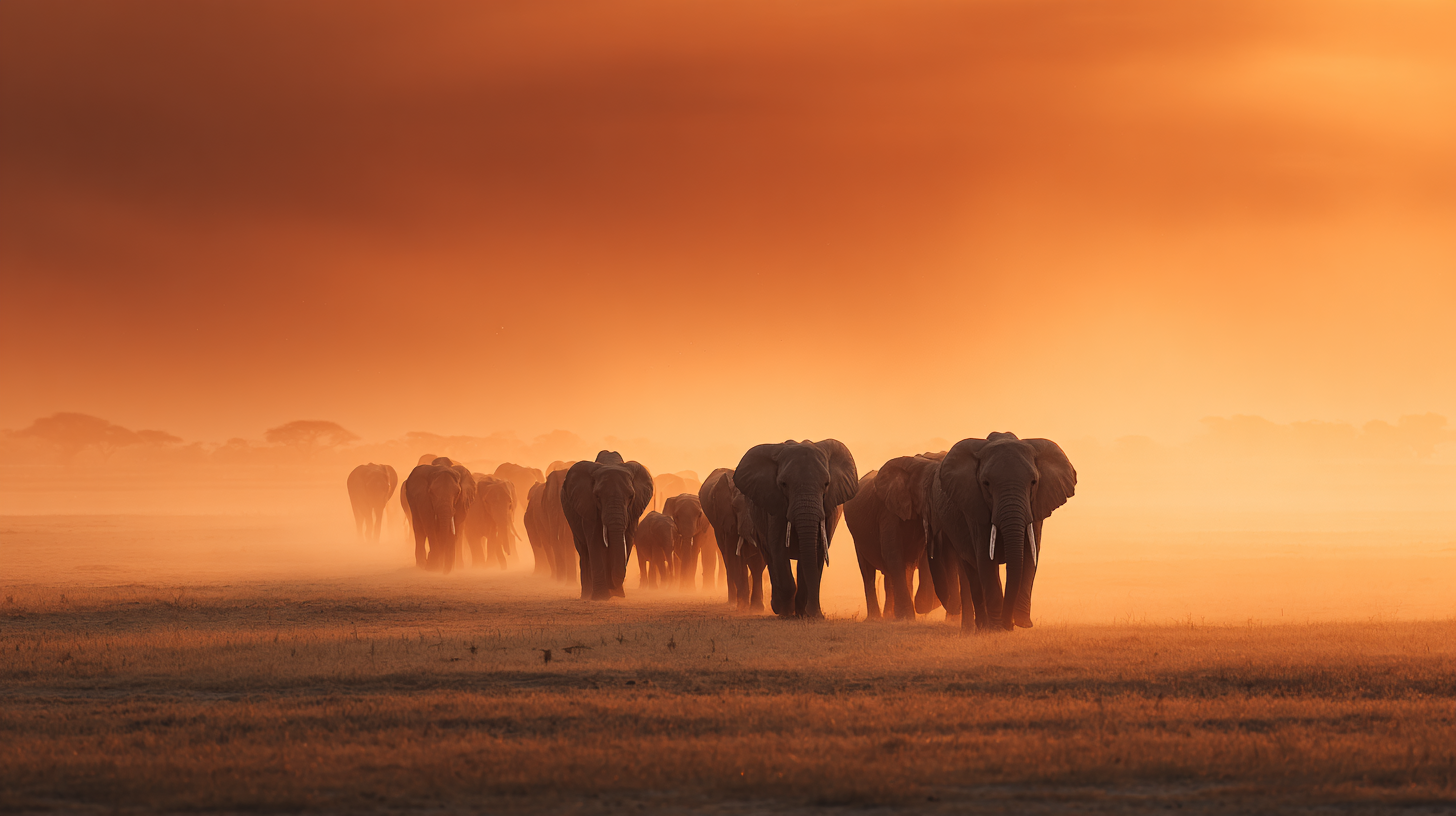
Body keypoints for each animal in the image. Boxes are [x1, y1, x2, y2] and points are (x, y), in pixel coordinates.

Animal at [562, 451, 653, 600]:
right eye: (597, 497)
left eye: (631, 496)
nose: (612, 586)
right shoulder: (588, 506)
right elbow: (595, 541)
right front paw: (601, 597)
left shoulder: (633, 512)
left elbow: (627, 540)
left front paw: (618, 595)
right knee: (584, 550)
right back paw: (587, 595)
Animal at [699, 467, 766, 612]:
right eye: (735, 507)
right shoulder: (728, 517)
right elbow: (734, 557)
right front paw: (743, 606)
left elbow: (758, 561)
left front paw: (756, 608)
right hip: (717, 526)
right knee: (727, 558)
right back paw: (734, 601)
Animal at [734, 439, 858, 619]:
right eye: (783, 484)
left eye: (826, 484)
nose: (818, 615)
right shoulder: (775, 507)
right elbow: (778, 550)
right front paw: (787, 614)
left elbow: (816, 552)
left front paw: (807, 614)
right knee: (769, 558)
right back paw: (778, 608)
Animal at [844, 454, 961, 621]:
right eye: (928, 492)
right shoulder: (887, 511)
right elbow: (892, 554)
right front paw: (909, 616)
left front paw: (919, 608)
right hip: (857, 536)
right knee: (868, 573)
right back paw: (876, 618)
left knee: (899, 572)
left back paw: (890, 616)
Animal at [933, 433, 1076, 631]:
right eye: (986, 483)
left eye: (1033, 482)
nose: (1009, 624)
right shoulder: (974, 507)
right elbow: (985, 560)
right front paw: (997, 626)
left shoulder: (1035, 507)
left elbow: (1029, 558)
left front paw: (1023, 624)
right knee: (971, 570)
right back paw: (981, 626)